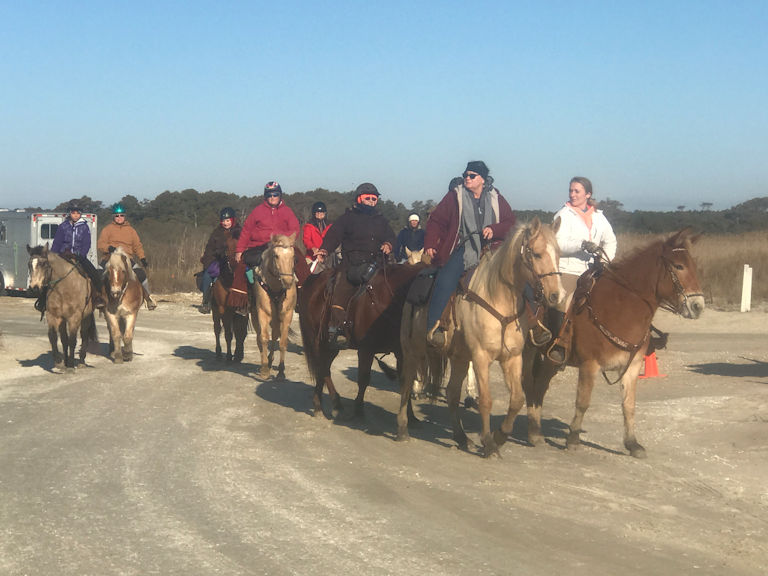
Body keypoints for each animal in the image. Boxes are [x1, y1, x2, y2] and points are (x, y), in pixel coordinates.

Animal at [26, 244, 97, 372]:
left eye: (44, 264)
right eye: (29, 264)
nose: (34, 288)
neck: (64, 288)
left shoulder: (75, 317)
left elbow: (72, 340)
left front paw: (71, 365)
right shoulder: (53, 315)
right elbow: (53, 336)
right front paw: (59, 361)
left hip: (86, 317)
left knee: (84, 336)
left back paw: (81, 362)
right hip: (63, 320)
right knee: (64, 339)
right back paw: (65, 361)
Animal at [254, 232, 298, 380]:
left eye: (293, 256)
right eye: (276, 256)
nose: (288, 281)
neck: (275, 287)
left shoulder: (287, 315)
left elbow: (282, 342)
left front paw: (281, 371)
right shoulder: (262, 313)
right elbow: (263, 339)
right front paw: (264, 370)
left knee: (275, 335)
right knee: (260, 338)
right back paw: (265, 362)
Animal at [296, 258, 424, 420]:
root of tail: (311, 281)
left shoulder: (402, 352)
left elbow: (405, 380)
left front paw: (410, 416)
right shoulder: (366, 349)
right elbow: (363, 379)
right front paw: (358, 410)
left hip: (330, 344)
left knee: (322, 369)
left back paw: (319, 405)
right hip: (318, 341)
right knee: (323, 368)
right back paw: (336, 404)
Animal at [400, 218, 560, 456]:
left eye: (559, 254)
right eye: (537, 254)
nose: (556, 295)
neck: (499, 299)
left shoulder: (512, 358)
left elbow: (517, 399)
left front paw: (500, 435)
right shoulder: (481, 357)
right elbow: (485, 400)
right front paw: (489, 443)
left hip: (458, 358)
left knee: (452, 393)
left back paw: (461, 437)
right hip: (413, 350)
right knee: (407, 383)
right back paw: (402, 428)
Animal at [524, 227, 704, 456]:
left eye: (692, 266)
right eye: (679, 266)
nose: (698, 306)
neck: (619, 307)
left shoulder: (632, 367)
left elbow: (629, 405)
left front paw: (632, 443)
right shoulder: (589, 365)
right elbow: (582, 402)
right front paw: (572, 439)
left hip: (551, 361)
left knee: (539, 387)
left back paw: (535, 431)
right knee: (529, 386)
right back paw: (532, 432)